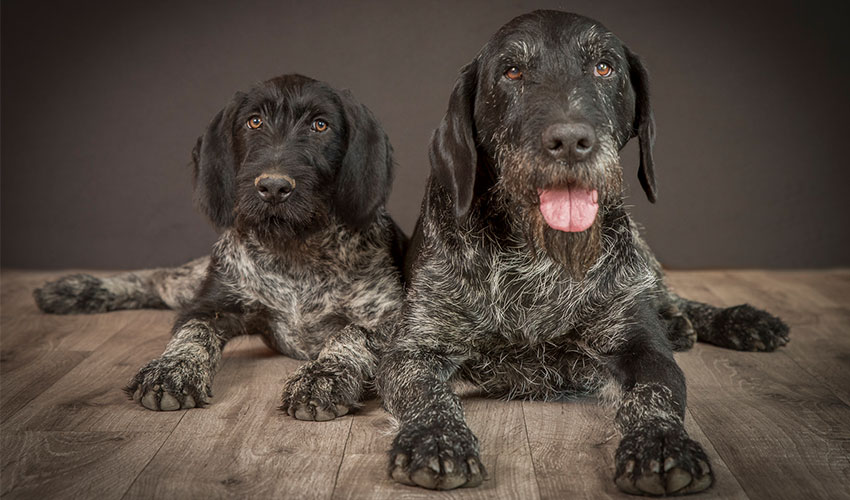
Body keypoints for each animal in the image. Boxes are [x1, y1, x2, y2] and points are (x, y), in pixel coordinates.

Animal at [33, 73, 404, 418]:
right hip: (187, 283)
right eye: (254, 121)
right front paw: (172, 371)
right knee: (159, 276)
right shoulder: (209, 305)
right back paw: (72, 289)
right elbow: (193, 332)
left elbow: (353, 333)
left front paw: (324, 376)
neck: (295, 250)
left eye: (320, 125)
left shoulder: (395, 320)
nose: (273, 187)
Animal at [378, 11, 788, 496]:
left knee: (670, 296)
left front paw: (661, 444)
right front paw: (436, 439)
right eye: (511, 72)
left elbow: (655, 393)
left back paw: (736, 320)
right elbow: (427, 393)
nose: (571, 141)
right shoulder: (417, 349)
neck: (537, 257)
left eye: (604, 67)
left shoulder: (643, 346)